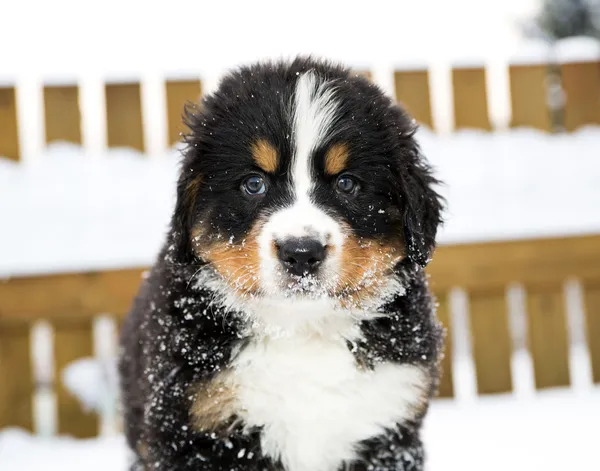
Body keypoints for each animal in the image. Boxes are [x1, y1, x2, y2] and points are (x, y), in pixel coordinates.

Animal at [118, 56, 446, 471]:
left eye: (347, 184)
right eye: (253, 184)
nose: (301, 252)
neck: (299, 329)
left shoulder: (389, 426)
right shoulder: (198, 426)